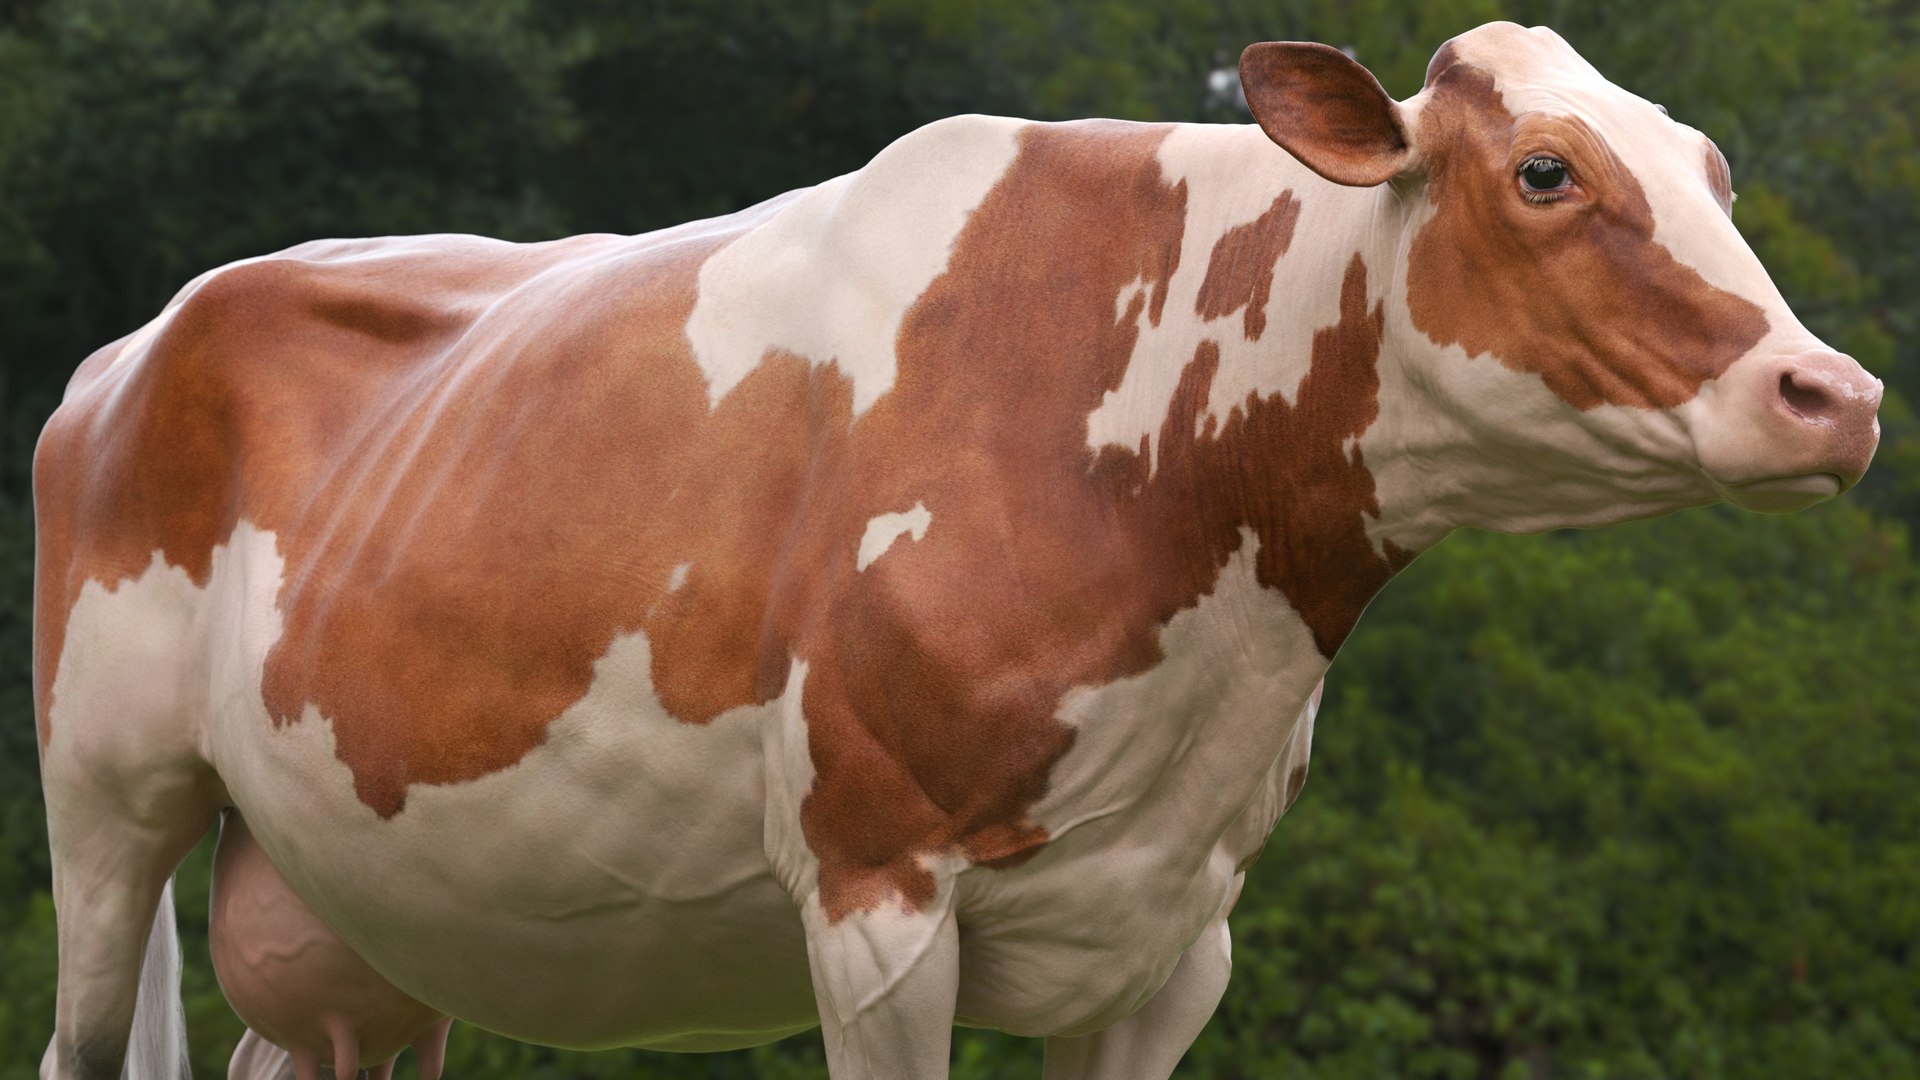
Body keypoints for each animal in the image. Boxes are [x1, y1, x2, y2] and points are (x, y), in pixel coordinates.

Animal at [33, 21, 1879, 1080]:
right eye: (1547, 172)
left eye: (1715, 170)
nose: (1837, 392)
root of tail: (137, 339)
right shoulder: (876, 891)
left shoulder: (1179, 936)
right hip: (107, 804)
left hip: (366, 921)